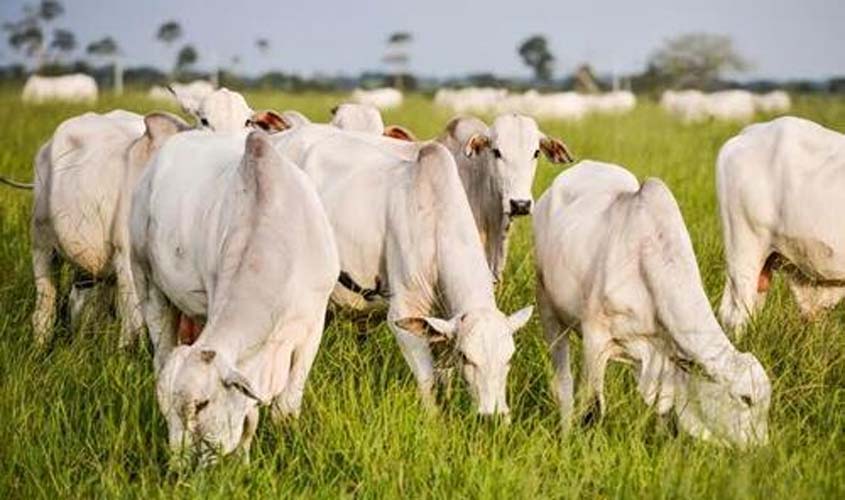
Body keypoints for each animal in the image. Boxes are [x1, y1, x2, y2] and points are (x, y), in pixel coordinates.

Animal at [129, 130, 339, 464]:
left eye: (202, 404)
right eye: (166, 412)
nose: (179, 466)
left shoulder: (313, 324)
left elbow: (286, 405)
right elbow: (249, 417)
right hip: (146, 281)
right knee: (160, 352)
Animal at [268, 128, 534, 416]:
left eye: (509, 358)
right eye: (467, 357)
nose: (493, 417)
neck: (435, 220)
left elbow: (444, 374)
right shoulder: (405, 311)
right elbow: (427, 380)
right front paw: (433, 419)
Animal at [533, 161, 771, 447]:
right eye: (746, 399)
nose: (761, 449)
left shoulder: (664, 357)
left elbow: (664, 412)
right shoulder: (595, 339)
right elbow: (592, 408)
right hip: (547, 306)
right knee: (564, 384)